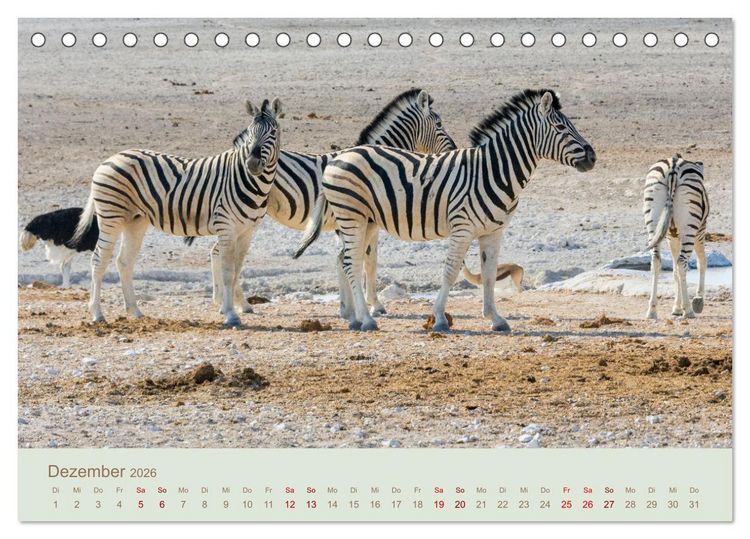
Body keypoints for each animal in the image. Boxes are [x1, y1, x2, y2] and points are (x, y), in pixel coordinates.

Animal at [72, 98, 283, 326]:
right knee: (98, 260)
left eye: (273, 132)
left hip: (135, 220)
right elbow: (228, 272)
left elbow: (236, 271)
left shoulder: (247, 232)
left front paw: (233, 308)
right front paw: (230, 314)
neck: (245, 178)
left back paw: (135, 311)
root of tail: (111, 158)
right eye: (250, 132)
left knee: (124, 262)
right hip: (111, 215)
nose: (252, 164)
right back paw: (97, 313)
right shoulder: (226, 227)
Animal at [200, 89, 457, 318]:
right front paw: (372, 305)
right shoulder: (363, 221)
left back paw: (231, 303)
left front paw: (349, 307)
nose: (454, 148)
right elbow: (367, 261)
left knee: (217, 251)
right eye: (439, 124)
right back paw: (232, 303)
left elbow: (350, 260)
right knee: (221, 252)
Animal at [295, 89, 596, 332]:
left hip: (366, 220)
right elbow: (451, 272)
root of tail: (340, 156)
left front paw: (495, 318)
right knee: (351, 262)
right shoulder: (463, 228)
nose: (592, 157)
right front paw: (439, 318)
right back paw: (367, 320)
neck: (492, 171)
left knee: (347, 260)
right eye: (560, 127)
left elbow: (489, 274)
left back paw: (356, 318)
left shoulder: (493, 232)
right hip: (352, 216)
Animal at [643, 155, 709, 319]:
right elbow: (702, 262)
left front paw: (676, 308)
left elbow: (673, 272)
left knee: (656, 261)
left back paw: (652, 310)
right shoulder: (700, 231)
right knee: (681, 262)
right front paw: (697, 300)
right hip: (690, 228)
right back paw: (689, 310)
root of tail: (673, 166)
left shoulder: (671, 237)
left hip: (653, 222)